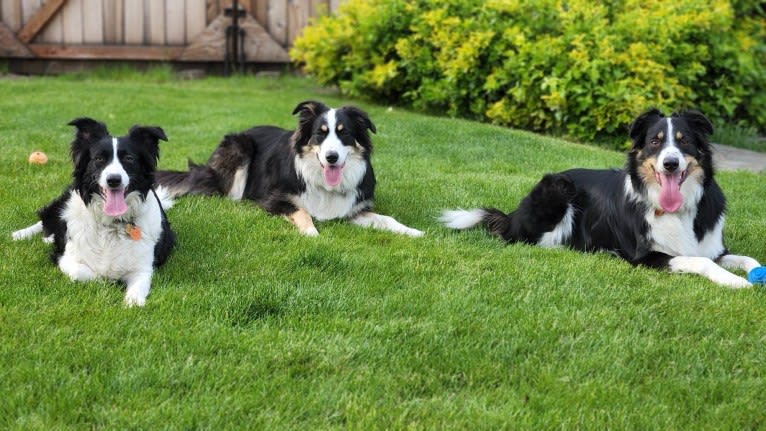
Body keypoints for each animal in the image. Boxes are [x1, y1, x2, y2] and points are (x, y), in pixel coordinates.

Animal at [12, 119, 176, 308]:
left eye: (129, 158)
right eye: (99, 159)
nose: (114, 180)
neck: (112, 224)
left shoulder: (143, 268)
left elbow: (138, 287)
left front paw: (132, 302)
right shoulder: (64, 258)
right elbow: (83, 272)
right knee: (45, 219)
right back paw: (21, 234)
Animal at [154, 100, 424, 238]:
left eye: (344, 132)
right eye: (320, 133)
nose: (332, 157)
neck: (324, 183)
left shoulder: (352, 209)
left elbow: (386, 219)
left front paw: (411, 230)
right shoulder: (275, 199)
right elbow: (303, 211)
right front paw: (311, 232)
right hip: (240, 147)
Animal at [440, 109, 764, 288]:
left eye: (684, 141)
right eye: (655, 142)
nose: (670, 164)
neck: (678, 209)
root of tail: (512, 215)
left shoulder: (714, 248)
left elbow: (747, 258)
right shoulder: (646, 256)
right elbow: (700, 262)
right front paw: (735, 282)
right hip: (558, 188)